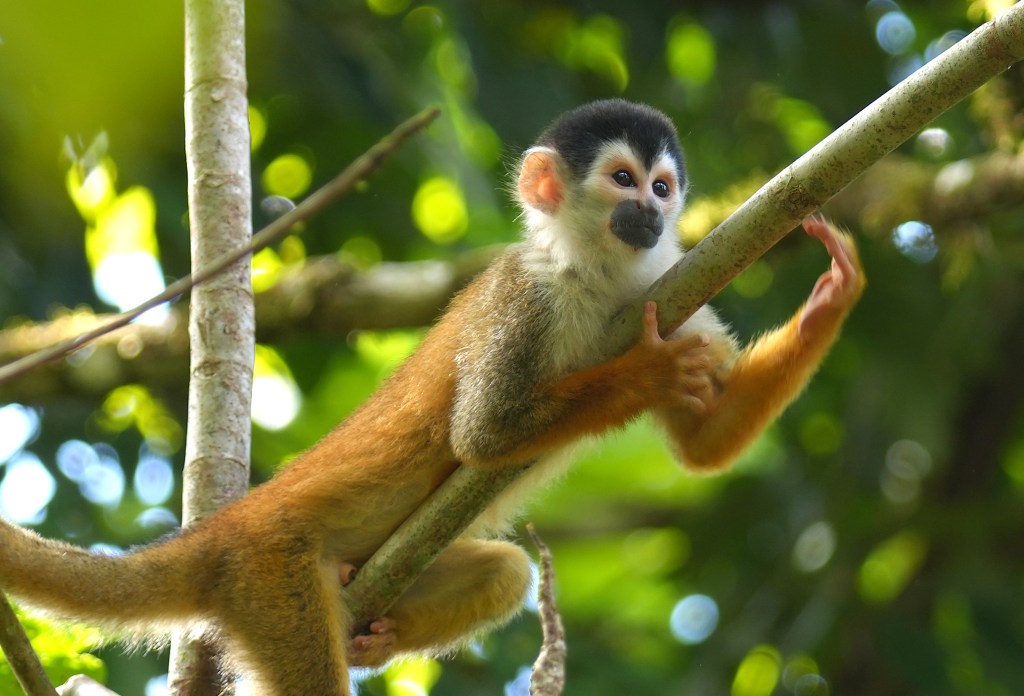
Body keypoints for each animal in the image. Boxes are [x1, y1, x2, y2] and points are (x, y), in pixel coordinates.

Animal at [0, 99, 864, 695]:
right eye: (623, 180)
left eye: (662, 186)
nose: (651, 212)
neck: (596, 275)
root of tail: (225, 527)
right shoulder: (525, 296)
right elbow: (483, 433)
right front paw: (641, 376)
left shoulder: (676, 287)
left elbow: (702, 446)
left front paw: (834, 296)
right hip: (268, 578)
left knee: (507, 573)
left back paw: (375, 636)